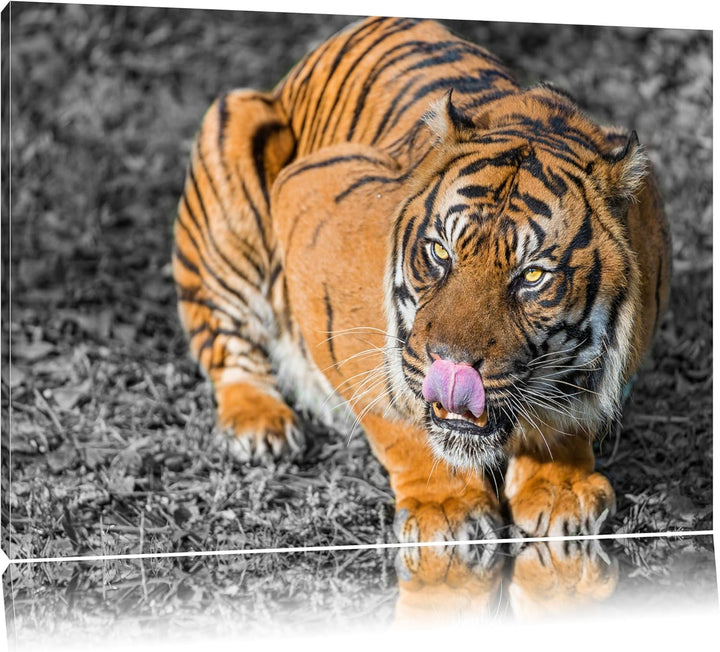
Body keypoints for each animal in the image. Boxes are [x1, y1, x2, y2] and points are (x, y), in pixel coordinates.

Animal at [172, 16, 670, 550]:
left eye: (532, 275)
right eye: (440, 253)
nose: (450, 367)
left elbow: (566, 416)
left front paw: (560, 490)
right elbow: (397, 413)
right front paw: (448, 506)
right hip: (230, 158)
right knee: (225, 341)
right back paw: (260, 425)